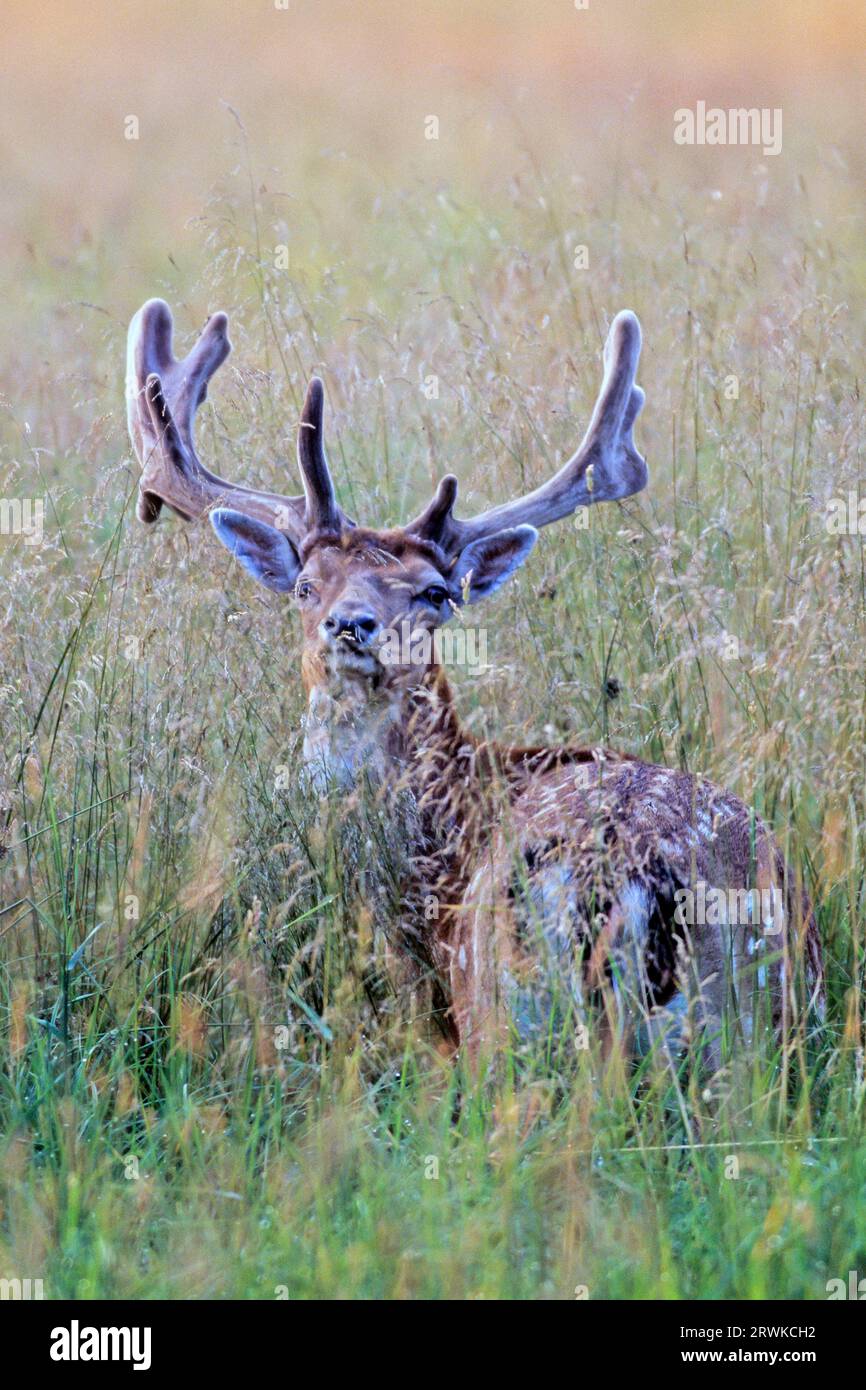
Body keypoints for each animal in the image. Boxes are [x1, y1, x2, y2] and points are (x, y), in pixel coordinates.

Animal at [125, 296, 822, 1073]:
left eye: (435, 592)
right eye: (307, 584)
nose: (352, 624)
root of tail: (625, 875)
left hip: (502, 1009)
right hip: (749, 1024)